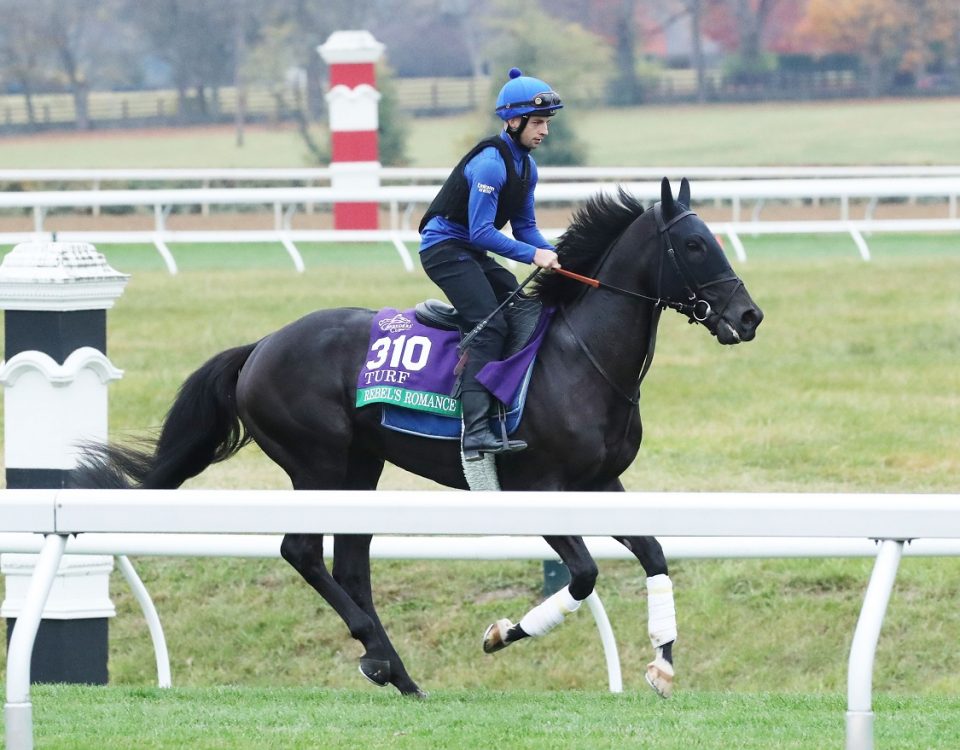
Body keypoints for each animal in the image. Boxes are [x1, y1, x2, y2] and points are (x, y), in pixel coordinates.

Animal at [73, 176, 764, 700]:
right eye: (695, 245)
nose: (749, 315)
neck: (581, 357)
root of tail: (261, 346)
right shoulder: (539, 486)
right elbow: (587, 574)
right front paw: (502, 634)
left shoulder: (601, 483)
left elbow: (653, 554)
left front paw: (663, 664)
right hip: (317, 462)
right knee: (302, 551)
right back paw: (380, 659)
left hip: (361, 467)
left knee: (350, 565)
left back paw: (397, 671)